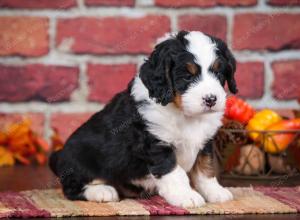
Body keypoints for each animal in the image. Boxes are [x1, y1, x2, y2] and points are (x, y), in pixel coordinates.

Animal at [49, 31, 237, 208]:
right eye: (187, 77)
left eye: (218, 73)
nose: (211, 99)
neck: (185, 114)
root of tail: (58, 155)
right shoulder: (155, 144)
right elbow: (175, 172)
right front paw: (186, 196)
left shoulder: (205, 142)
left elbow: (206, 169)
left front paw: (215, 192)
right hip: (80, 159)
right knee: (72, 188)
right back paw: (103, 191)